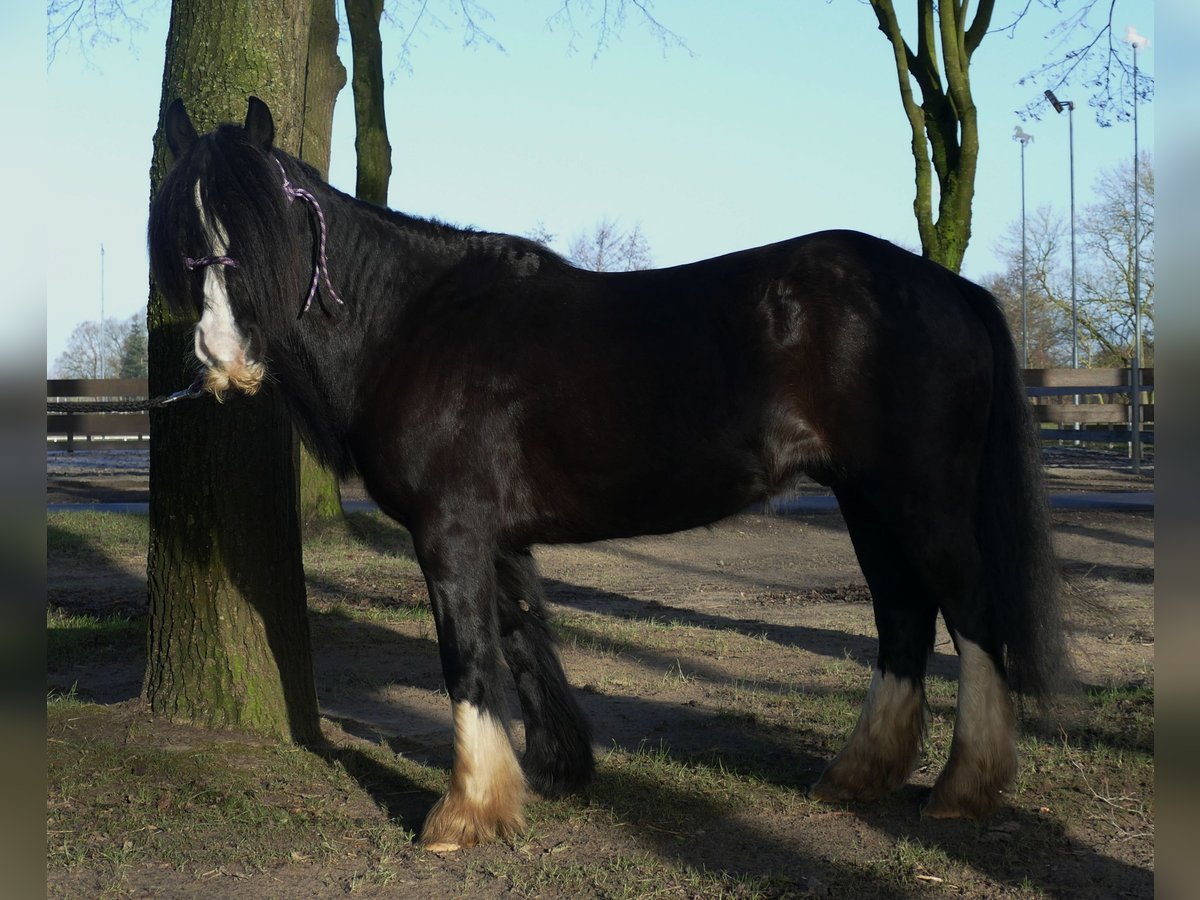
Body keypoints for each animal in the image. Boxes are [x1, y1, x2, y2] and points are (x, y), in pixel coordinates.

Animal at [152, 97, 1070, 854]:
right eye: (186, 238)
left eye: (260, 230)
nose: (222, 360)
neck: (414, 324)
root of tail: (949, 287)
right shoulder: (497, 537)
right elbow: (523, 641)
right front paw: (552, 774)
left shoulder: (450, 532)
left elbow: (469, 657)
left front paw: (463, 816)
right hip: (865, 499)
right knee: (903, 616)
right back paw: (857, 777)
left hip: (922, 500)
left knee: (970, 612)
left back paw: (963, 789)